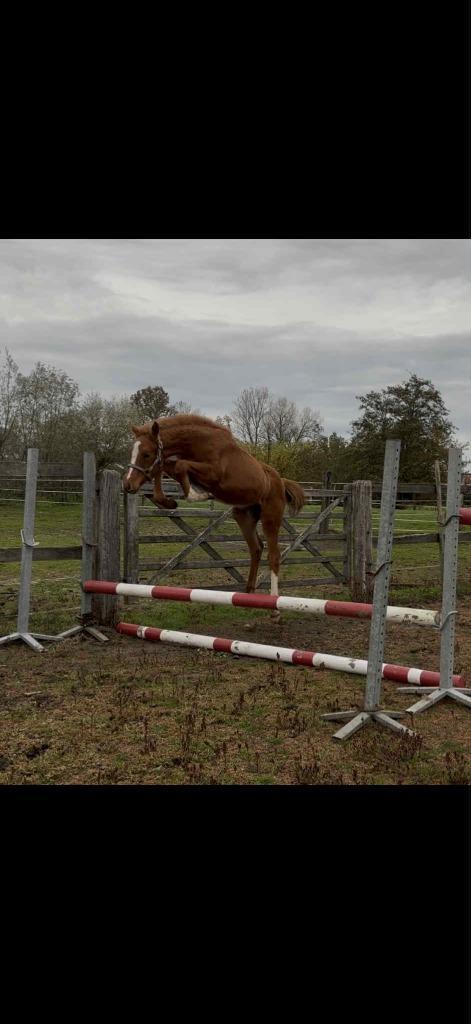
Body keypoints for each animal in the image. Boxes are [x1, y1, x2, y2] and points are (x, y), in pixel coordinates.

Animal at [122, 414, 305, 604]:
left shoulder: (213, 474)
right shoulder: (175, 464)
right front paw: (169, 503)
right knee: (256, 549)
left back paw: (274, 602)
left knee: (274, 555)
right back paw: (248, 594)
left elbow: (180, 466)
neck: (200, 443)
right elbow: (165, 467)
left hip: (270, 517)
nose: (128, 485)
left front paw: (197, 495)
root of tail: (281, 481)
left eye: (146, 454)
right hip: (243, 516)